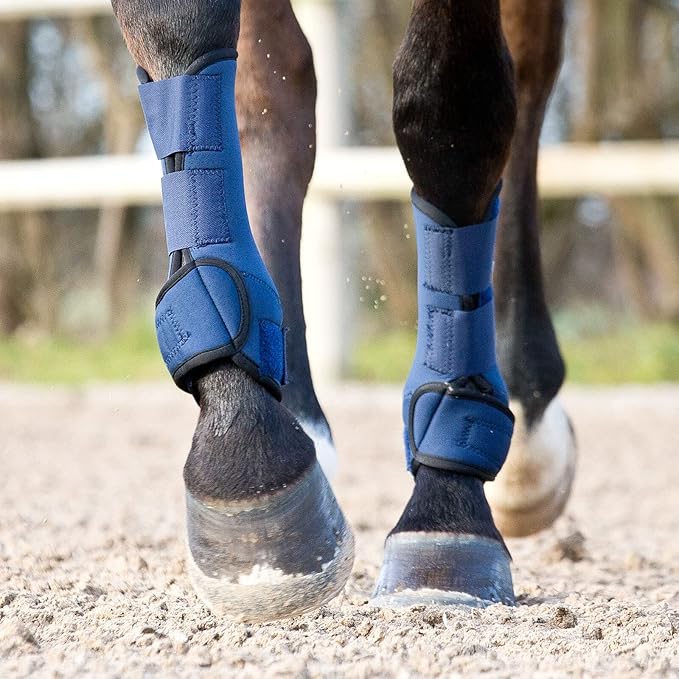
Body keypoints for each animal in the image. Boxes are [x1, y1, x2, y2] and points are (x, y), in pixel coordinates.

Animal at [110, 0, 576, 622]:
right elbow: (186, 37)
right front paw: (247, 463)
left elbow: (451, 110)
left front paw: (446, 512)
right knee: (276, 89)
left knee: (528, 69)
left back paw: (525, 423)